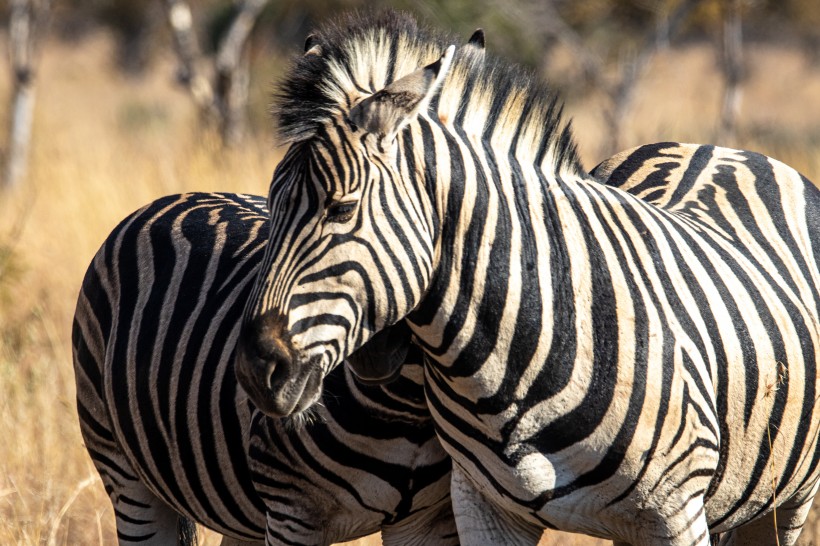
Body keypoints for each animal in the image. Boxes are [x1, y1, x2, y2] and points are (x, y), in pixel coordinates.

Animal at [71, 189, 458, 540]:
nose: (378, 357)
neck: (404, 409)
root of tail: (174, 196)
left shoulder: (425, 521)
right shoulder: (292, 513)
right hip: (123, 471)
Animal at [234, 10, 820, 544]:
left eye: (341, 208)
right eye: (271, 204)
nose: (257, 369)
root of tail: (717, 147)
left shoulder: (676, 515)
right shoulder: (482, 507)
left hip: (786, 498)